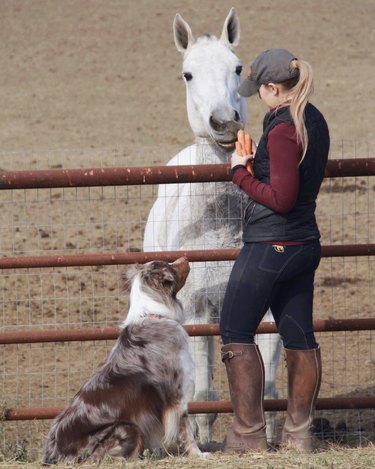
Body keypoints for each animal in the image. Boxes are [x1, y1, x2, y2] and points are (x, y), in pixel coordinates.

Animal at [42, 258, 207, 462]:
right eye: (169, 265)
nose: (185, 257)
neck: (153, 314)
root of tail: (53, 453)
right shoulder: (177, 393)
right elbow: (187, 429)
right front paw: (199, 454)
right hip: (128, 428)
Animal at [144, 8, 282, 446]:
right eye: (187, 74)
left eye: (238, 68)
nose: (223, 121)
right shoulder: (199, 310)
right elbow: (204, 393)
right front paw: (202, 441)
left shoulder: (266, 308)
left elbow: (269, 386)